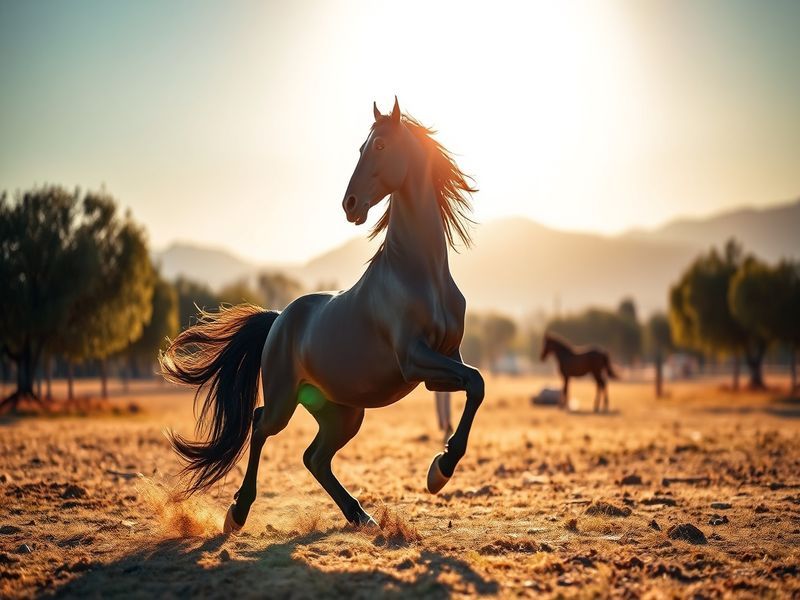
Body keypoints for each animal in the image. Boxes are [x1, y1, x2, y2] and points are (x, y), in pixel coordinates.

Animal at [159, 97, 485, 534]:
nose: (350, 205)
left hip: (343, 412)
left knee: (314, 458)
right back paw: (237, 513)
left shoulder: (442, 365)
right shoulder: (414, 359)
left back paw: (361, 515)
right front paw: (441, 469)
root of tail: (279, 318)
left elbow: (475, 385)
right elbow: (476, 381)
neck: (420, 276)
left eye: (380, 145)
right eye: (361, 146)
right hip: (285, 400)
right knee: (260, 425)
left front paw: (439, 470)